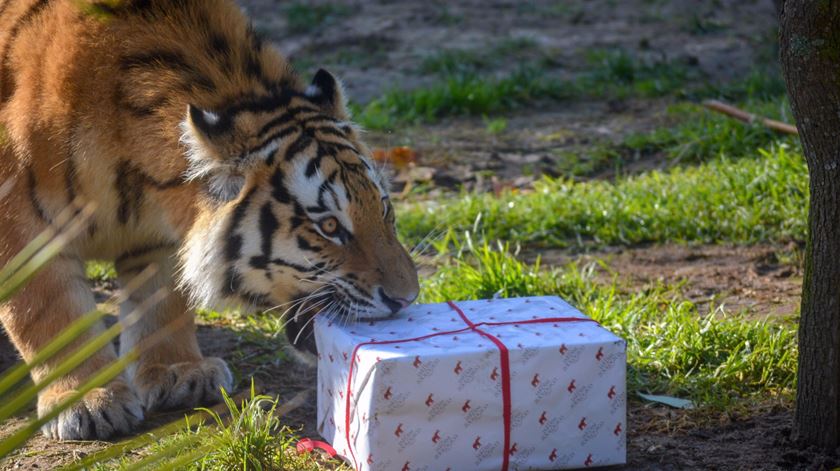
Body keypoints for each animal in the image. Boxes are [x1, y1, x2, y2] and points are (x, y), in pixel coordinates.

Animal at [0, 0, 419, 440]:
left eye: (384, 209)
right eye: (329, 226)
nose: (407, 298)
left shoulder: (159, 235)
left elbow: (162, 299)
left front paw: (178, 373)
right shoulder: (18, 216)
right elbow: (49, 310)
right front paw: (88, 400)